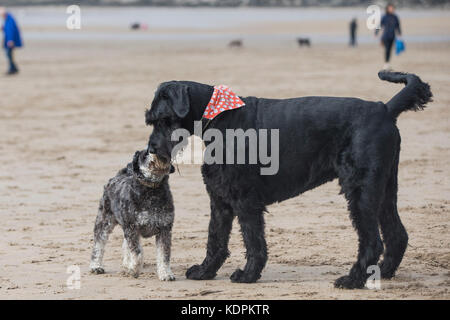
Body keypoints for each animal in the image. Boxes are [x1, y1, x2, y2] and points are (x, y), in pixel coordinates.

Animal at [90, 150, 176, 280]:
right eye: (145, 154)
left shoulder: (165, 229)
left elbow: (164, 255)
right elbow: (138, 253)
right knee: (99, 242)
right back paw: (96, 266)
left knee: (125, 244)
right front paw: (133, 270)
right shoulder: (132, 228)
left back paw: (126, 264)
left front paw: (166, 274)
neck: (152, 191)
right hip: (105, 220)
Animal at [145, 72, 432, 290]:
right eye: (150, 120)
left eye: (164, 120)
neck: (218, 117)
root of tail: (385, 109)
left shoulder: (245, 200)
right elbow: (215, 238)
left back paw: (353, 279)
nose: (153, 149)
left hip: (360, 191)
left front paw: (248, 275)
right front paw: (205, 271)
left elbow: (253, 240)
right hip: (383, 189)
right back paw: (382, 271)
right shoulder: (220, 200)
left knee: (372, 241)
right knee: (396, 233)